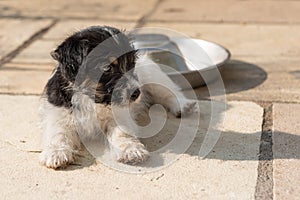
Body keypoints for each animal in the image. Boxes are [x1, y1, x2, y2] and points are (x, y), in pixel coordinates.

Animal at [38, 25, 196, 169]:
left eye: (131, 63)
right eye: (107, 68)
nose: (136, 94)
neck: (92, 99)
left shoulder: (118, 115)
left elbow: (122, 132)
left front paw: (131, 151)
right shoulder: (58, 113)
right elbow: (58, 133)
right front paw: (56, 153)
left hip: (152, 75)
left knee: (169, 91)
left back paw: (183, 106)